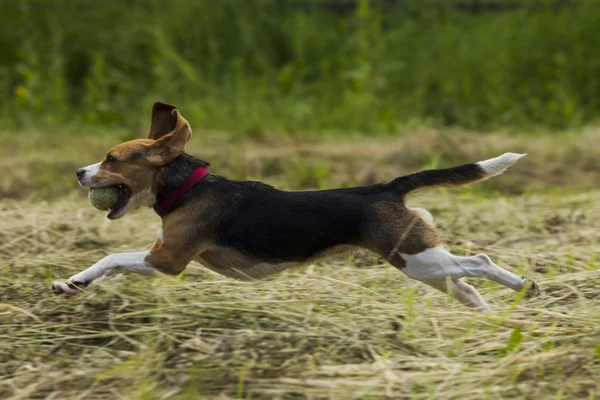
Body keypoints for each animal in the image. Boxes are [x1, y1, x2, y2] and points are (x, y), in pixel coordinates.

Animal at [51, 101, 540, 310]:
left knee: (479, 262)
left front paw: (74, 280)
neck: (185, 186)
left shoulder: (166, 259)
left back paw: (523, 286)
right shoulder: (159, 258)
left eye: (112, 159)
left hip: (417, 257)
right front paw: (74, 284)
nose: (78, 172)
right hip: (422, 264)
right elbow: (113, 264)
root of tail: (384, 187)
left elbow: (112, 256)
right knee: (469, 289)